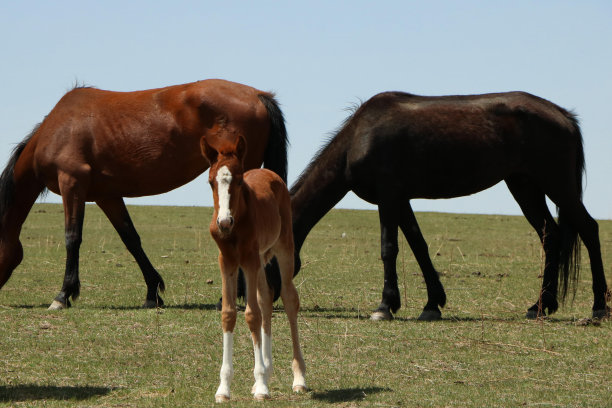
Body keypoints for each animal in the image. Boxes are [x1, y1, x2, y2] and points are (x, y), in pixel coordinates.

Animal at [0, 79, 290, 310]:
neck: (58, 128)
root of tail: (258, 95)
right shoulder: (107, 196)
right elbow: (131, 239)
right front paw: (153, 292)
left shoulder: (72, 184)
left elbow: (72, 238)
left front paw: (62, 295)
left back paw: (229, 298)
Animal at [201, 135, 306, 402]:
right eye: (210, 182)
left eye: (239, 180)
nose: (224, 222)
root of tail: (269, 173)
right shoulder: (227, 261)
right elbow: (229, 314)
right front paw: (224, 389)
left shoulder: (248, 259)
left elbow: (252, 314)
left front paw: (261, 386)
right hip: (260, 259)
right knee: (266, 298)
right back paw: (267, 370)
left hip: (282, 248)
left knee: (288, 298)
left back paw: (299, 378)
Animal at [290, 91, 608, 320]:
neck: (360, 137)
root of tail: (564, 115)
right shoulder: (400, 200)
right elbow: (418, 245)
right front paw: (432, 303)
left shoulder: (388, 197)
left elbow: (389, 248)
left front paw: (384, 306)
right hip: (525, 187)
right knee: (551, 236)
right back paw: (540, 306)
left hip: (557, 187)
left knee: (589, 229)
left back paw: (598, 308)